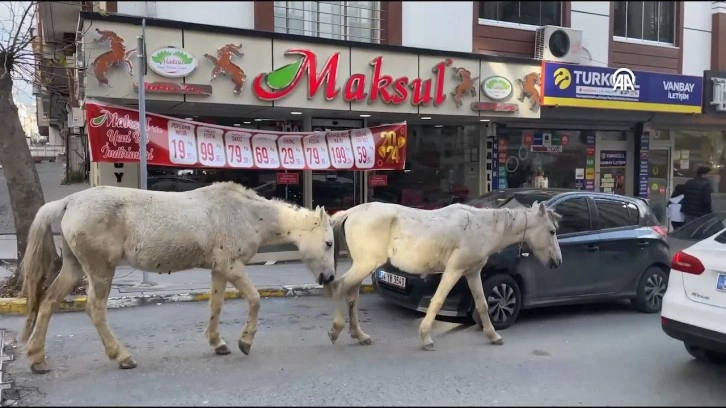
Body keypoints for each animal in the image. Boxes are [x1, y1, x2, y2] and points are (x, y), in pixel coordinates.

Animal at [19, 182, 336, 372]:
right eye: (329, 243)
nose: (329, 277)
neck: (245, 213)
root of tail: (70, 201)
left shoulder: (219, 269)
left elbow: (216, 305)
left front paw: (218, 343)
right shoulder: (232, 267)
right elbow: (255, 299)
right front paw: (244, 342)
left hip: (73, 268)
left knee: (48, 302)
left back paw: (37, 358)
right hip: (100, 271)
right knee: (94, 310)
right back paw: (122, 356)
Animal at [328, 201, 564, 350]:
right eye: (552, 231)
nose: (558, 261)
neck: (481, 227)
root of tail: (350, 212)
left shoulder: (472, 272)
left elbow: (482, 304)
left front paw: (493, 335)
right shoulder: (454, 271)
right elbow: (437, 301)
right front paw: (426, 337)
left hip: (362, 266)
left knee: (352, 296)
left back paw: (359, 335)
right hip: (365, 265)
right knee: (339, 287)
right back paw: (336, 330)